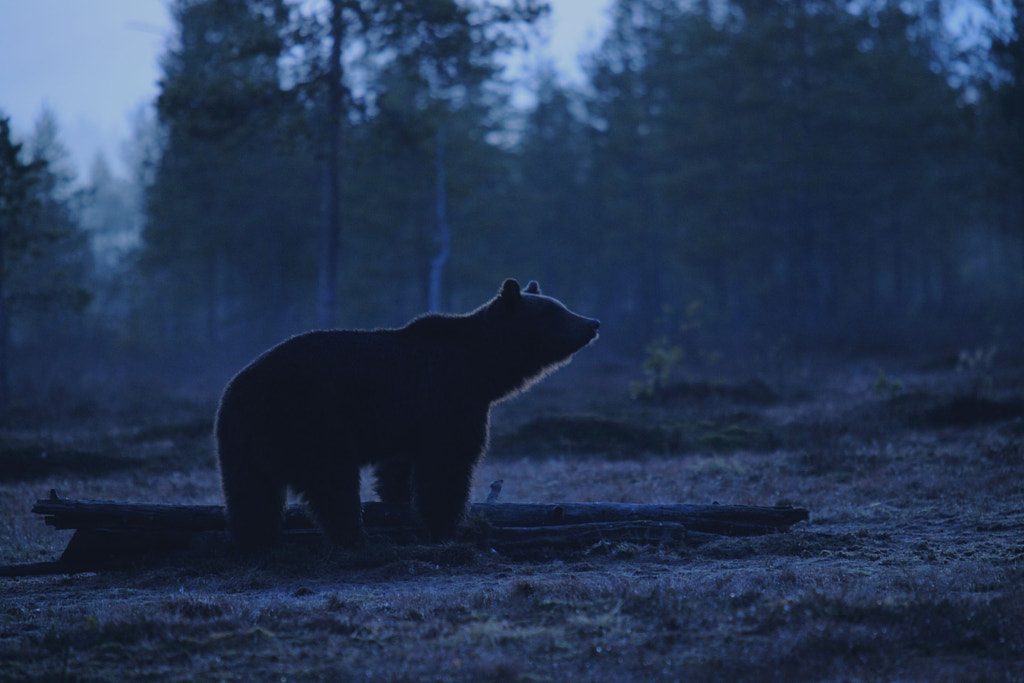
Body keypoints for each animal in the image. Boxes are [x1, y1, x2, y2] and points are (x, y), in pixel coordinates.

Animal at [216, 278, 598, 548]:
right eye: (556, 312)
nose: (592, 322)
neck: (481, 368)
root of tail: (240, 389)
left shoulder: (412, 418)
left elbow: (399, 466)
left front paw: (398, 499)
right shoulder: (449, 399)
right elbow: (448, 464)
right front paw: (447, 526)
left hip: (240, 441)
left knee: (250, 492)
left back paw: (257, 539)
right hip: (310, 419)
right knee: (332, 481)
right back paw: (360, 537)